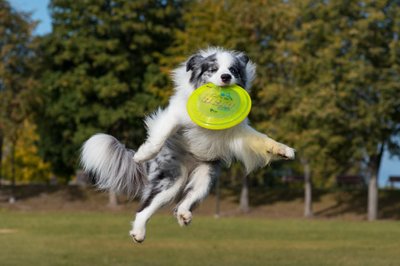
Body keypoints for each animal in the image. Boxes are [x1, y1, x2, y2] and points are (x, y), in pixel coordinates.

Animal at [80, 46, 294, 242]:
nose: (225, 77)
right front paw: (143, 154)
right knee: (145, 208)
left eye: (233, 70)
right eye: (213, 69)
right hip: (171, 178)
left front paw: (284, 150)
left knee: (185, 200)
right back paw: (138, 233)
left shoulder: (238, 132)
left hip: (206, 177)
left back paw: (183, 214)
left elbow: (262, 139)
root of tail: (190, 167)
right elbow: (161, 135)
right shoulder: (176, 116)